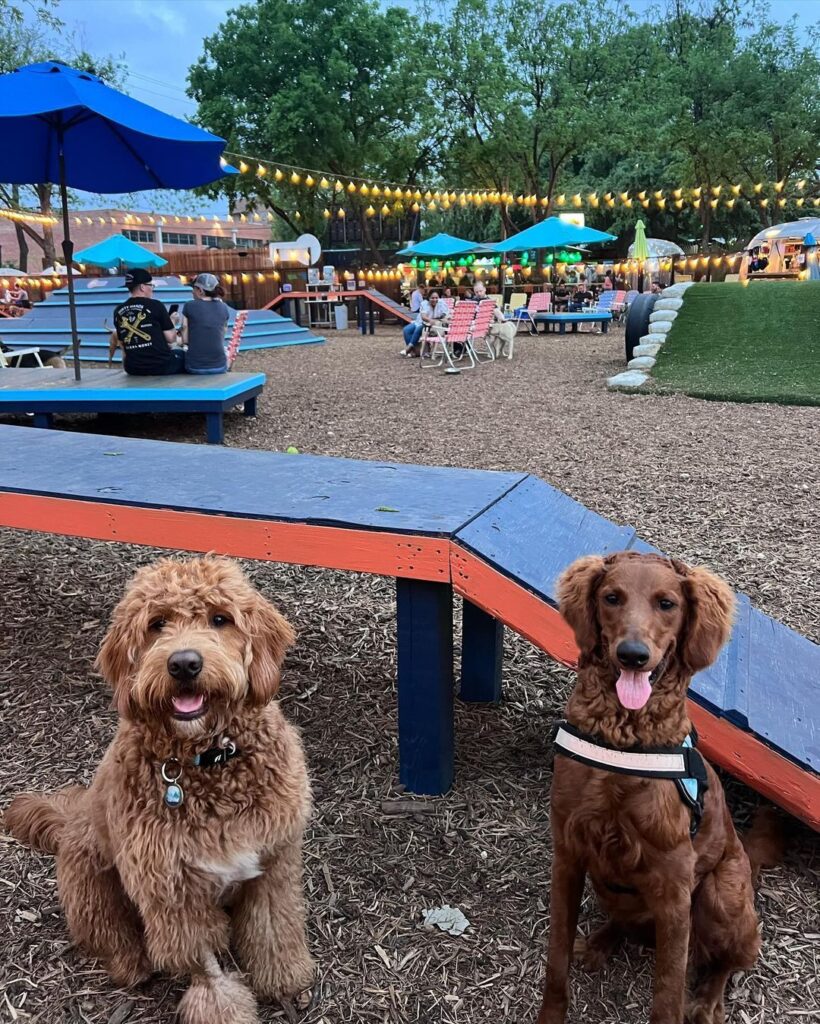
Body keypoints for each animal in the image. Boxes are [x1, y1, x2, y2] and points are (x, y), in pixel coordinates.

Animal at [6, 561, 313, 1024]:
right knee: (110, 936)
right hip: (91, 884)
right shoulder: (172, 895)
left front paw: (283, 976)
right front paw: (224, 1004)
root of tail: (68, 822)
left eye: (220, 619)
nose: (184, 664)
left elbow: (273, 926)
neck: (207, 761)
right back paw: (130, 964)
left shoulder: (273, 860)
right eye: (156, 624)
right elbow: (206, 969)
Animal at [536, 552, 782, 1024]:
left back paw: (708, 1001)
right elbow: (555, 963)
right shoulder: (568, 856)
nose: (633, 655)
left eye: (667, 603)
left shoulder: (674, 890)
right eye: (612, 597)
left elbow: (667, 994)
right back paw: (599, 942)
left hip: (718, 895)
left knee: (731, 959)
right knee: (626, 922)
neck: (623, 737)